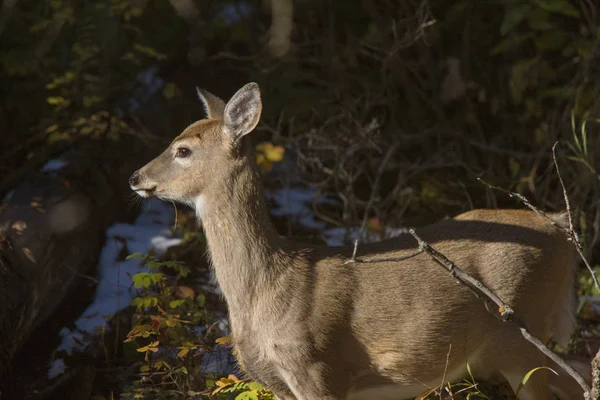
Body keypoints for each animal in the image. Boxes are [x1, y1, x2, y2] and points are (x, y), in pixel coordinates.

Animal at [130, 82, 584, 400]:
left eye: (183, 150)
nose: (135, 177)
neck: (266, 288)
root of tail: (561, 229)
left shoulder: (317, 367)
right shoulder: (276, 381)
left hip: (522, 330)